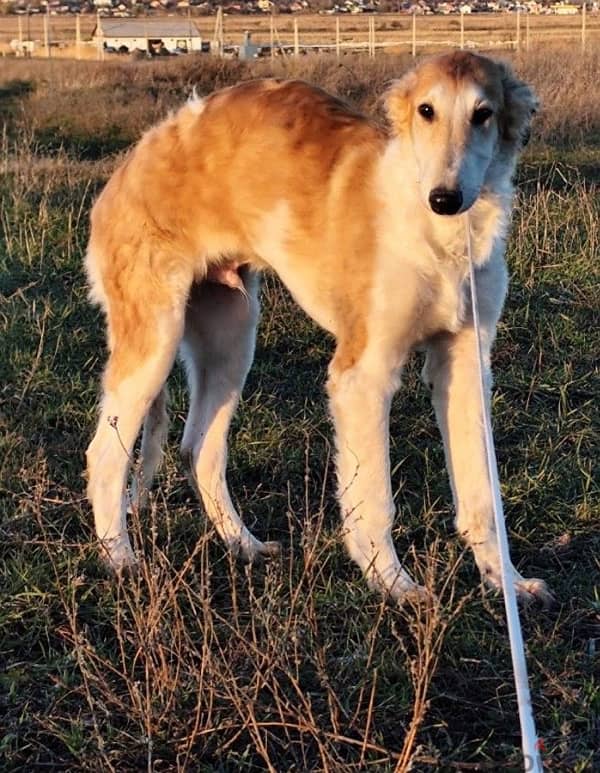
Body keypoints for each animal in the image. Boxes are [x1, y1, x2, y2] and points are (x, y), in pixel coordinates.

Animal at [86, 51, 552, 608]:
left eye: (483, 114)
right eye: (426, 111)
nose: (445, 198)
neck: (438, 237)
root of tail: (131, 165)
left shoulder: (465, 363)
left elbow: (482, 493)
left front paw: (506, 582)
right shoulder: (362, 373)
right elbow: (373, 497)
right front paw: (392, 584)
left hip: (231, 336)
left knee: (199, 449)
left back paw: (243, 544)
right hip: (154, 338)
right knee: (105, 454)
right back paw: (119, 559)